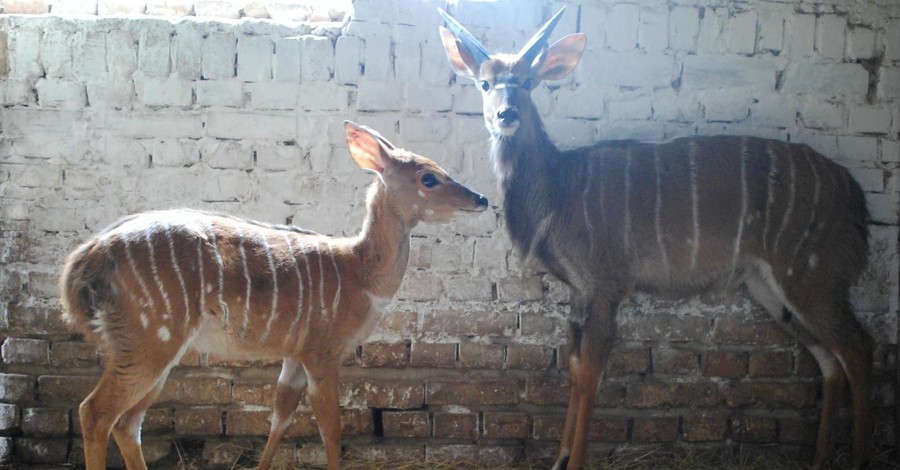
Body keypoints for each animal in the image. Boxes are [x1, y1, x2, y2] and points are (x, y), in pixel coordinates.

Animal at [59, 122, 488, 470]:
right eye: (429, 178)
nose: (481, 199)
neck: (360, 272)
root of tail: (86, 259)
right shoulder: (322, 352)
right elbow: (331, 427)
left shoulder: (294, 355)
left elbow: (279, 417)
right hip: (150, 341)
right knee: (95, 412)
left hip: (154, 350)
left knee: (128, 422)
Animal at [442, 7, 872, 470]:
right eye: (485, 83)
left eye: (527, 81)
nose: (507, 115)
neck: (559, 190)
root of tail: (853, 192)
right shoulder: (579, 291)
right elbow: (573, 368)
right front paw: (558, 458)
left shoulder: (607, 285)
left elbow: (590, 372)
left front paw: (573, 459)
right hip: (772, 288)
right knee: (829, 359)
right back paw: (819, 459)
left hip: (811, 276)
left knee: (858, 347)